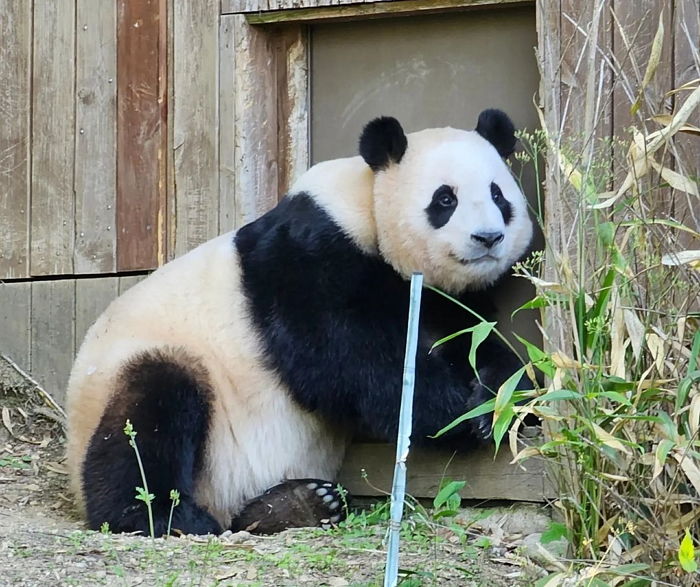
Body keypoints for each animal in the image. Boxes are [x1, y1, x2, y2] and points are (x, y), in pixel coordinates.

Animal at [68, 109, 532, 536]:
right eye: (445, 200)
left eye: (498, 196)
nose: (487, 237)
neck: (365, 205)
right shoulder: (307, 256)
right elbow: (347, 358)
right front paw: (457, 414)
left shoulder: (431, 295)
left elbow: (466, 338)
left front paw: (500, 397)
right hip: (143, 369)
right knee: (149, 416)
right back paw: (166, 516)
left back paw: (297, 504)